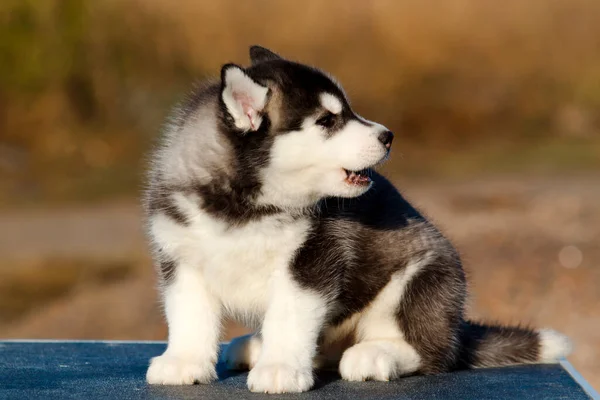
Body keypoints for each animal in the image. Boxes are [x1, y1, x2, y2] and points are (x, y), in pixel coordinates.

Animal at [145, 47, 572, 394]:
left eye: (347, 111)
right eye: (326, 121)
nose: (389, 135)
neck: (244, 207)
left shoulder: (313, 260)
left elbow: (289, 316)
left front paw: (280, 368)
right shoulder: (181, 259)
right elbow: (188, 315)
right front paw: (183, 362)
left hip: (423, 280)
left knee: (431, 353)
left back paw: (374, 355)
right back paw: (258, 345)